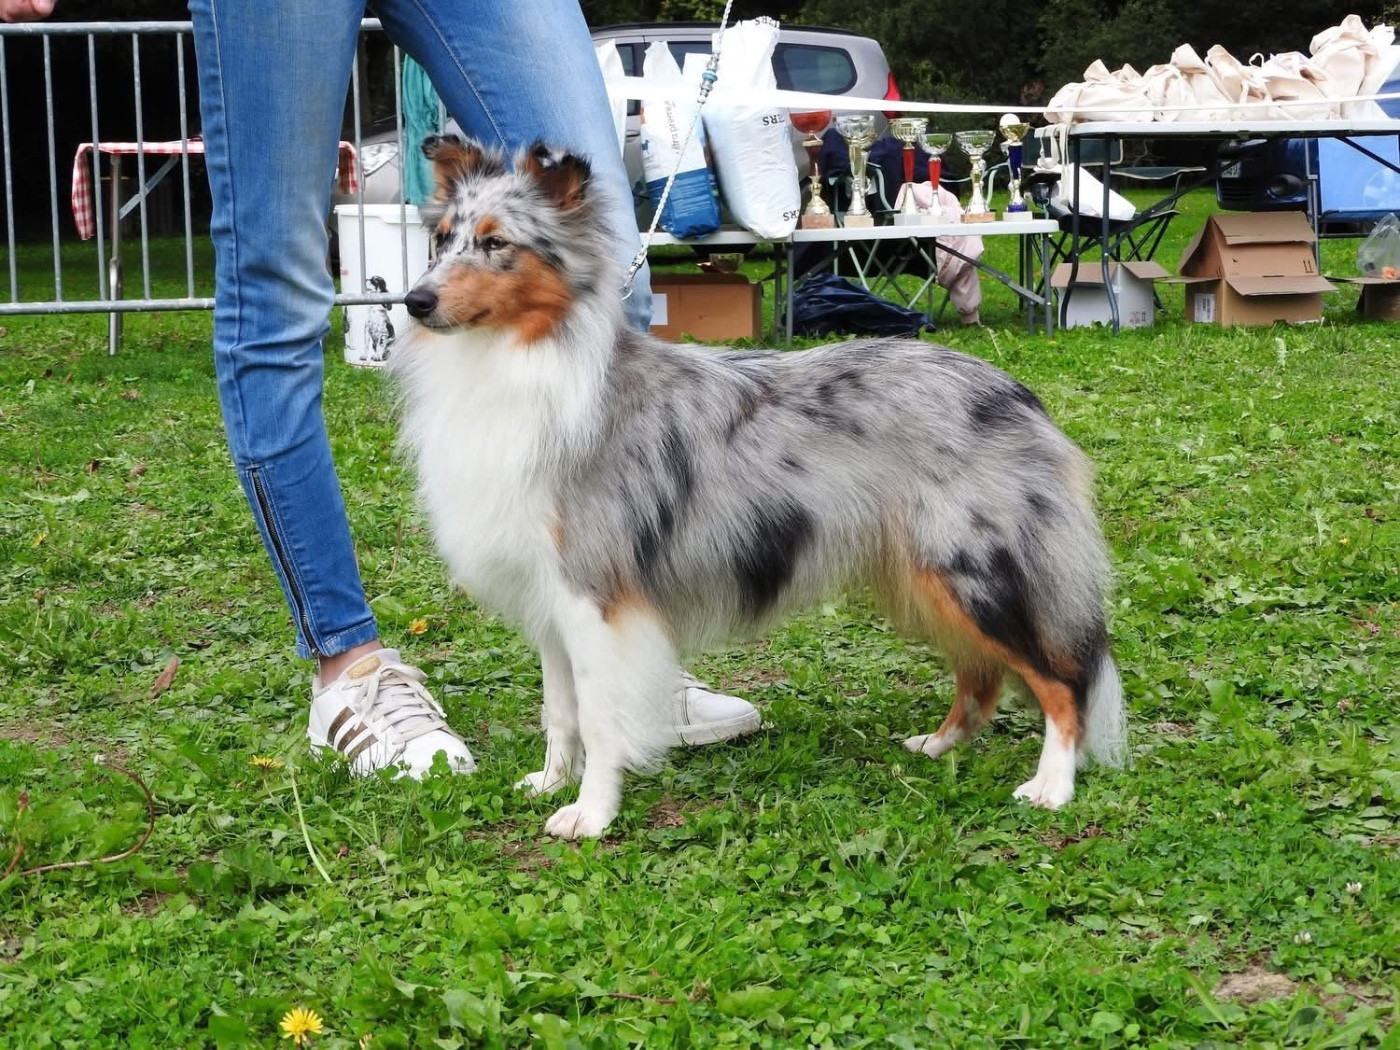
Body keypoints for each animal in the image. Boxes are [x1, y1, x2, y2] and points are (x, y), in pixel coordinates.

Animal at [390, 135, 1126, 839]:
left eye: (496, 243)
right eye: (441, 239)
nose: (414, 302)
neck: (517, 358)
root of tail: (1017, 393)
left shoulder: (594, 596)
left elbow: (599, 719)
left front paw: (590, 814)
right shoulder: (549, 599)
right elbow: (561, 712)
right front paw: (550, 783)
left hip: (974, 569)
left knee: (1063, 680)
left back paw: (1052, 786)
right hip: (926, 577)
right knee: (983, 674)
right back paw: (938, 746)